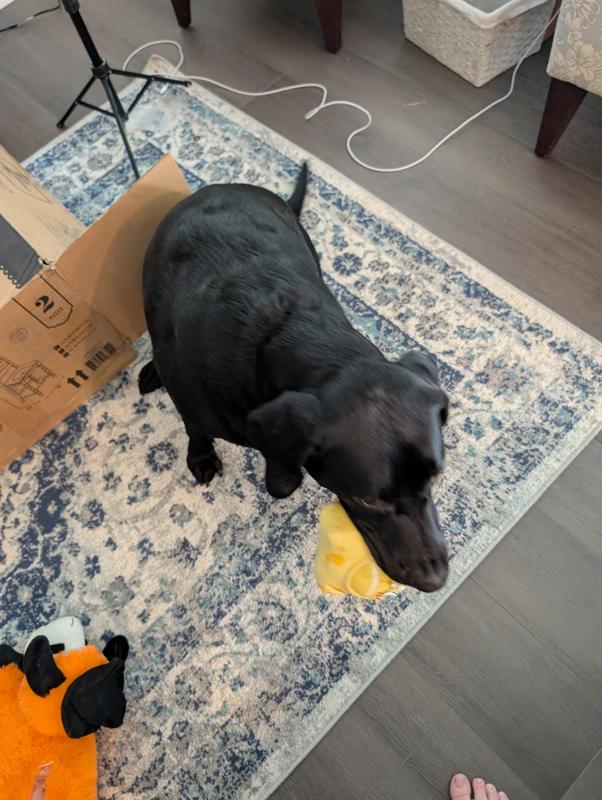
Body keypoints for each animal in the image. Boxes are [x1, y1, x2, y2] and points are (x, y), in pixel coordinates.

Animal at [139, 164, 449, 593]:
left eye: (435, 477)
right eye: (368, 500)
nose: (436, 579)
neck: (291, 331)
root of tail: (228, 186)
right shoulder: (192, 401)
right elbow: (198, 430)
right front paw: (202, 457)